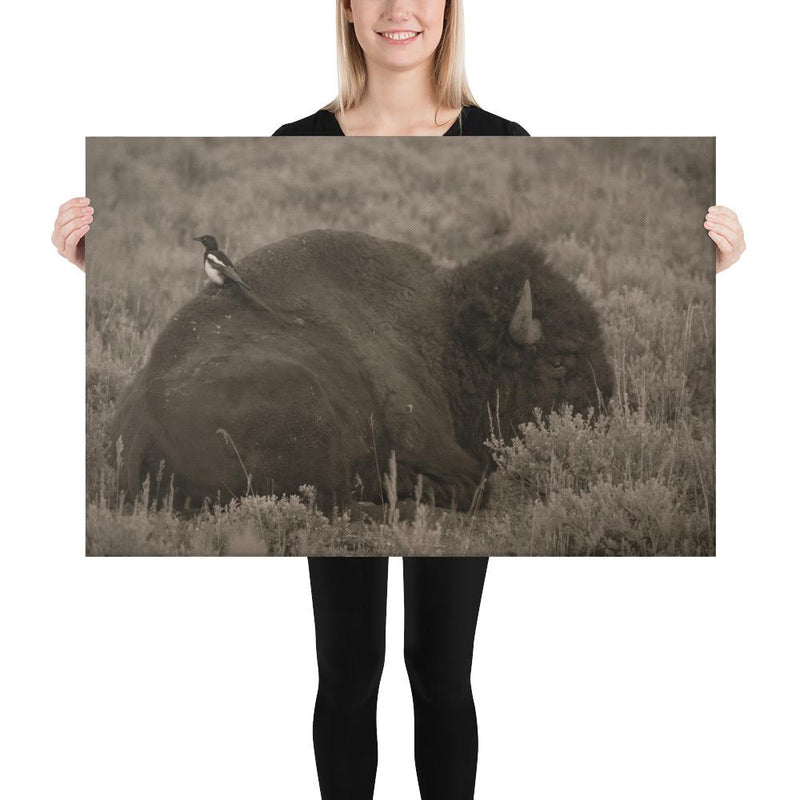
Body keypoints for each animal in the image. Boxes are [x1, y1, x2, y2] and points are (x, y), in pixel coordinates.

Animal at [111, 229, 613, 514]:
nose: (603, 417)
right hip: (309, 405)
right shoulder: (434, 445)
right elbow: (475, 484)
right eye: (558, 361)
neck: (443, 331)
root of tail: (140, 428)